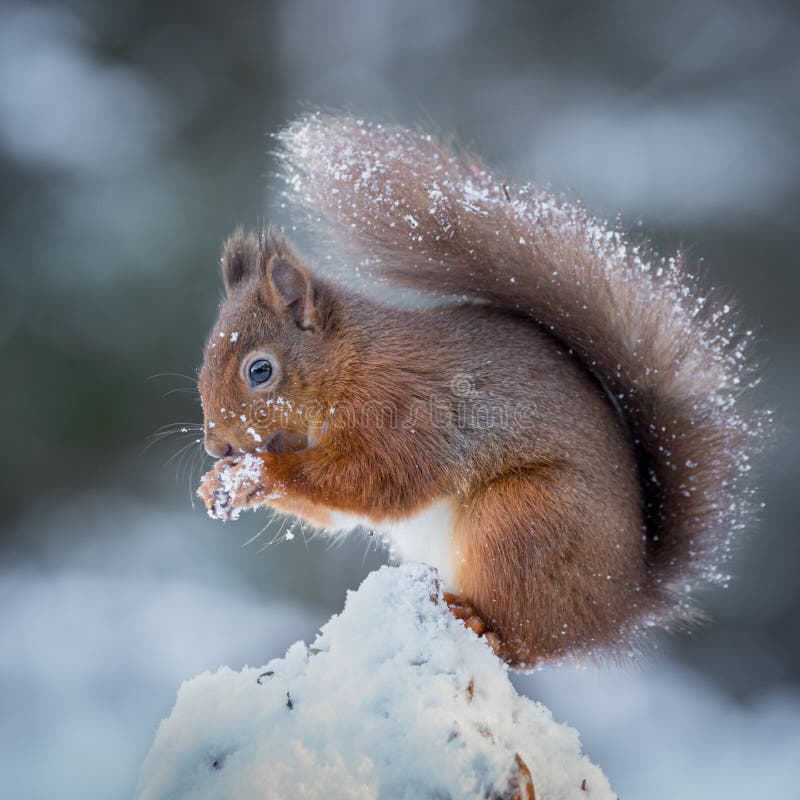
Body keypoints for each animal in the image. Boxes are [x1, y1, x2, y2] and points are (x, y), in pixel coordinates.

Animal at [194, 112, 764, 664]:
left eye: (260, 371)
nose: (217, 446)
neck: (351, 364)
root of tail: (625, 602)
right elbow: (332, 511)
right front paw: (219, 483)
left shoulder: (409, 410)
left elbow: (369, 480)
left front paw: (261, 473)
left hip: (523, 521)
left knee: (530, 644)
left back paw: (484, 624)